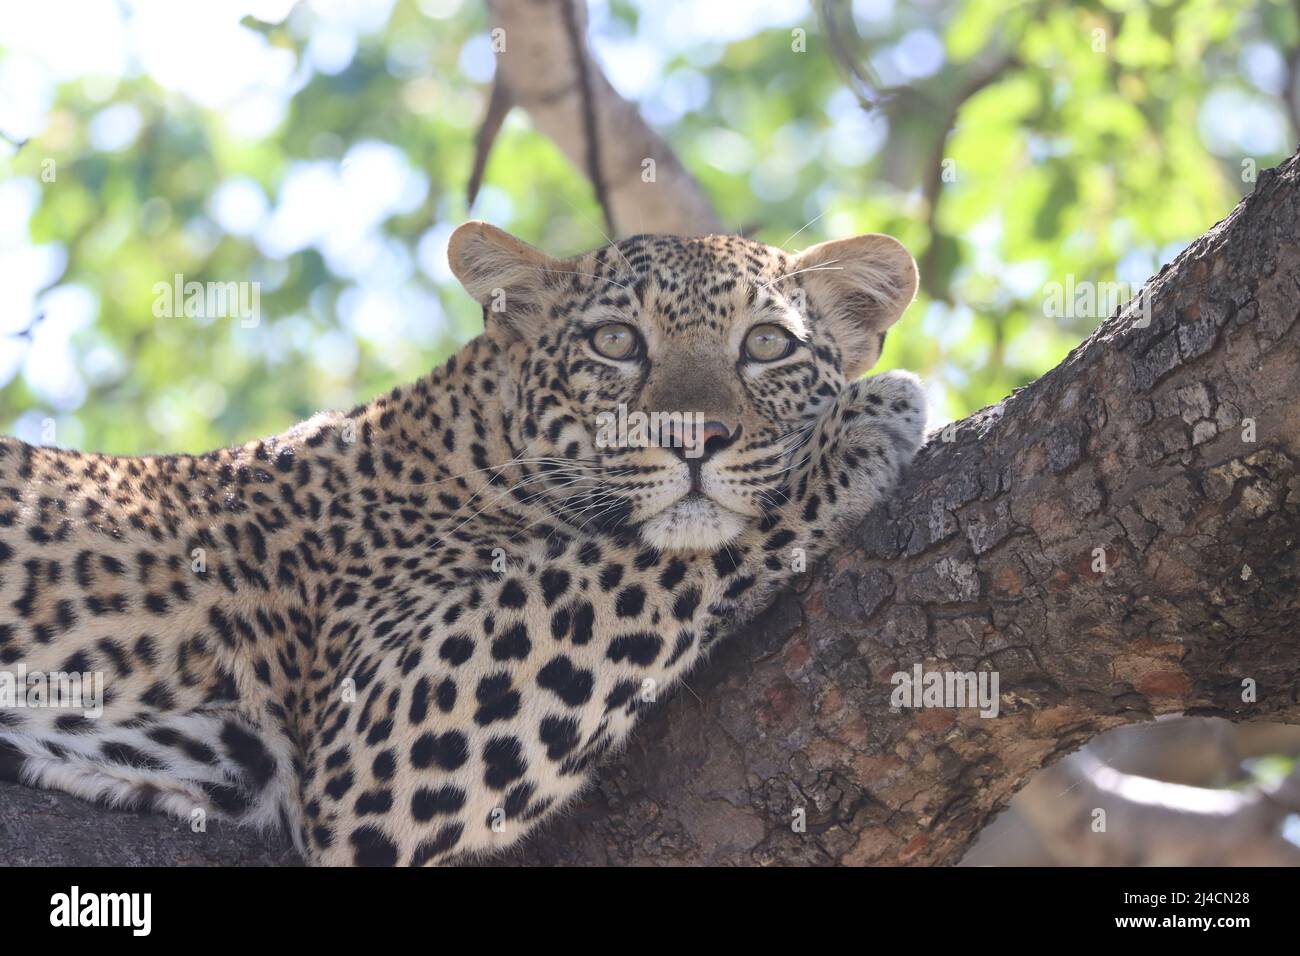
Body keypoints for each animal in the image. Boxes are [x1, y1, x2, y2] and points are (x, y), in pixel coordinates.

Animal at [0, 222, 927, 865]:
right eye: (616, 342)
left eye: (768, 345)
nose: (692, 438)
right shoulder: (374, 729)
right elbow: (624, 565)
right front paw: (857, 429)